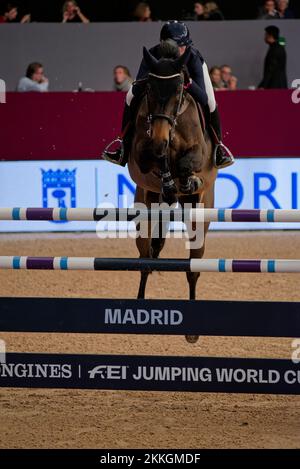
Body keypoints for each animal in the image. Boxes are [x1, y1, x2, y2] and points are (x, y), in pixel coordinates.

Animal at [127, 44, 218, 340]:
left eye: (179, 90)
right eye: (150, 90)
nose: (160, 137)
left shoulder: (199, 152)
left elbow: (187, 163)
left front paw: (187, 180)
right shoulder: (142, 154)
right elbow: (156, 158)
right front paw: (168, 180)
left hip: (199, 219)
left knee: (193, 268)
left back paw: (192, 331)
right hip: (144, 212)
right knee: (145, 260)